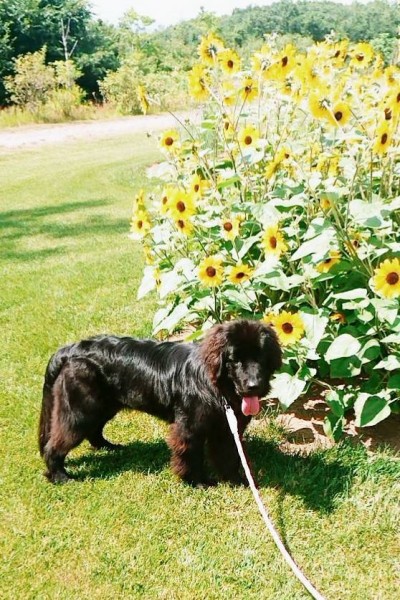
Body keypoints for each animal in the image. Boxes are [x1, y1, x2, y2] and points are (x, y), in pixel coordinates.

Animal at [38, 322, 282, 486]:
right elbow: (190, 454)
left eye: (260, 357)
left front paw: (236, 480)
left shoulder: (226, 428)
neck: (215, 386)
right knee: (56, 443)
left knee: (94, 431)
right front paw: (197, 481)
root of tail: (70, 350)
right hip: (80, 410)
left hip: (103, 406)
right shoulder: (189, 427)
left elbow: (228, 455)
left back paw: (110, 447)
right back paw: (61, 477)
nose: (254, 385)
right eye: (235, 360)